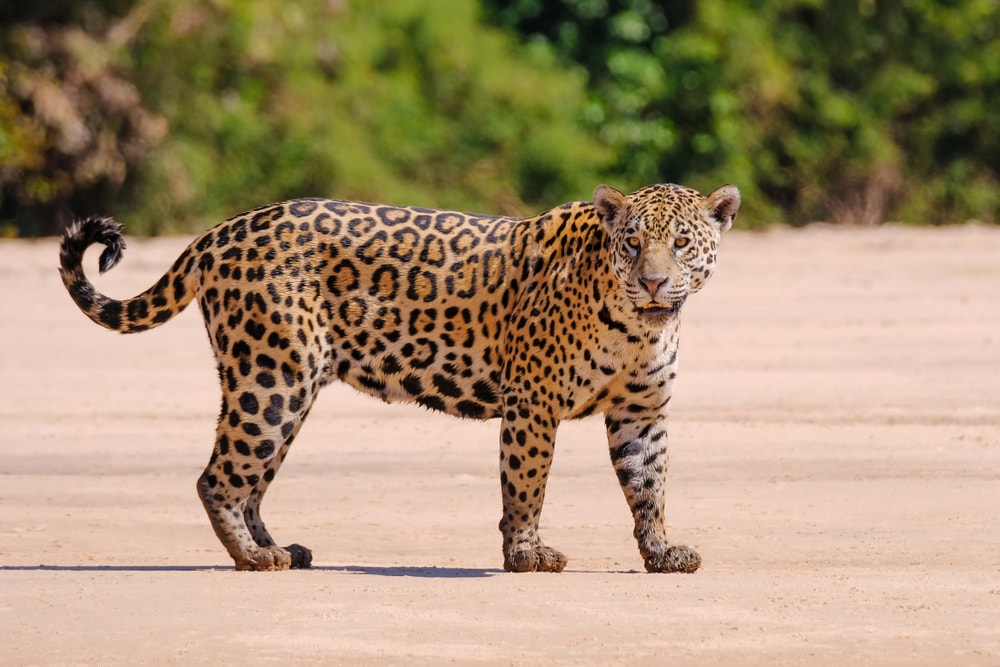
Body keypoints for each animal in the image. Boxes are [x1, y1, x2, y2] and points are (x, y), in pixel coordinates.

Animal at [58, 181, 739, 573]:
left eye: (682, 244)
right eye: (632, 244)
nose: (653, 281)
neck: (637, 323)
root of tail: (223, 229)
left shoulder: (641, 411)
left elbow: (648, 487)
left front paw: (661, 553)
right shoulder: (532, 405)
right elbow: (526, 485)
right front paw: (526, 555)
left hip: (290, 387)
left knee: (252, 481)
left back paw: (282, 548)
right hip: (271, 377)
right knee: (218, 478)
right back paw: (254, 559)